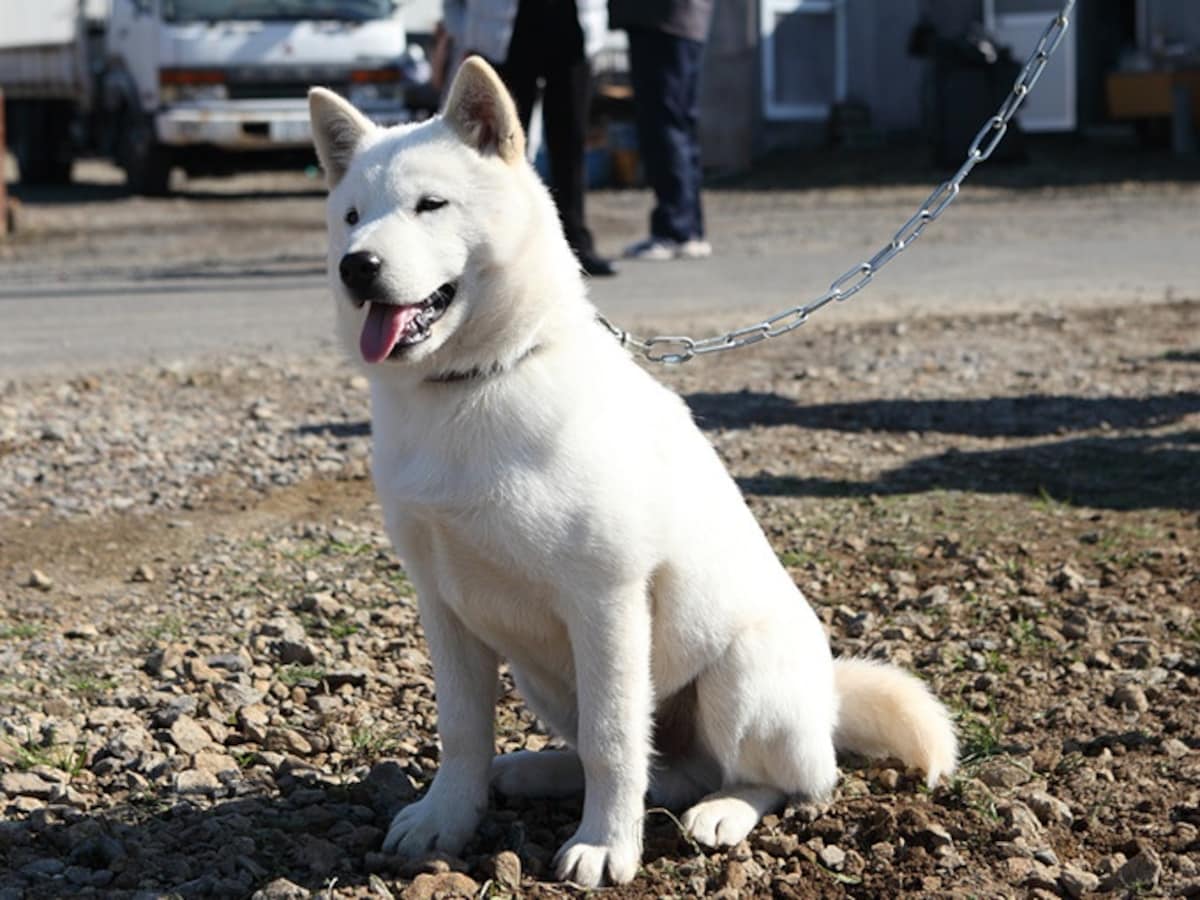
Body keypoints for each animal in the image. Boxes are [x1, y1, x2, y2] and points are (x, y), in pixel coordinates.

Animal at [307, 60, 955, 892]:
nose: (357, 266)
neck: (476, 384)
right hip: (544, 678)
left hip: (738, 678)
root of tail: (827, 698)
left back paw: (723, 812)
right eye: (352, 216)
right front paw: (447, 817)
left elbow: (614, 742)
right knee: (658, 767)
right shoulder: (445, 610)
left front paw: (606, 846)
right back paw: (536, 771)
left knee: (785, 780)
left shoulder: (607, 603)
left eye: (430, 205)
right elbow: (464, 733)